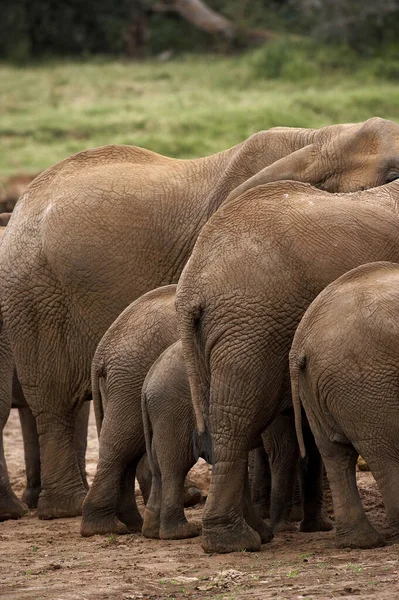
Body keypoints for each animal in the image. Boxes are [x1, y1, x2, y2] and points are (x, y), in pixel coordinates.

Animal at [0, 118, 399, 520]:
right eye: (394, 174)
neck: (320, 139)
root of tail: (22, 205)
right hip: (37, 294)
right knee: (56, 403)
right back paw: (65, 507)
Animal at [290, 260, 399, 552]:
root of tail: (301, 343)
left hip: (322, 386)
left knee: (335, 455)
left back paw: (358, 542)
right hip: (365, 382)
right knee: (385, 453)